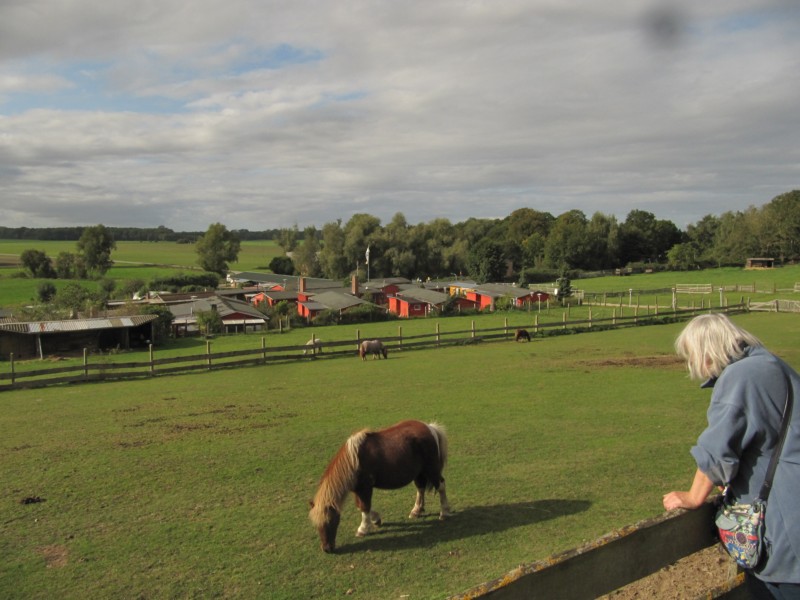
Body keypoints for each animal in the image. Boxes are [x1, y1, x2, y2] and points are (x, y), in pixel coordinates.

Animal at [310, 420, 454, 552]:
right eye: (316, 525)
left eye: (330, 521)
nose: (326, 549)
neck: (353, 461)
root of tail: (430, 428)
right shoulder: (358, 489)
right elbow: (361, 506)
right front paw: (375, 520)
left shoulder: (365, 488)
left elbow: (365, 507)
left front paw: (363, 529)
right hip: (419, 472)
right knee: (421, 488)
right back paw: (416, 511)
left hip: (431, 470)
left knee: (441, 486)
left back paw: (444, 512)